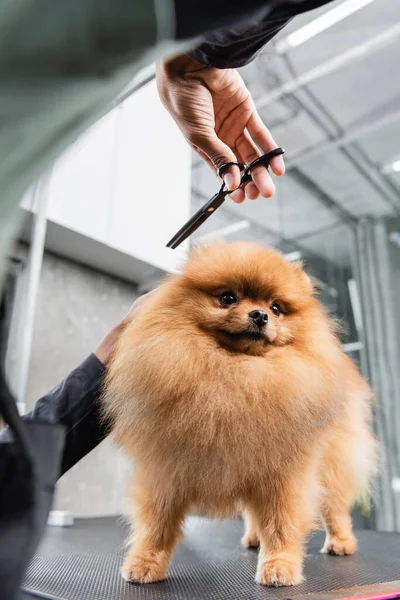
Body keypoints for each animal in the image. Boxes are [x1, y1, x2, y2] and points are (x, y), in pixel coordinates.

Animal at [102, 243, 376, 584]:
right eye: (228, 298)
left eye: (276, 308)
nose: (259, 315)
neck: (235, 375)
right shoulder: (167, 469)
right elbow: (157, 522)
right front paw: (145, 561)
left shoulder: (283, 473)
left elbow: (281, 521)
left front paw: (278, 566)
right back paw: (255, 537)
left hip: (332, 460)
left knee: (334, 506)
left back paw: (340, 541)